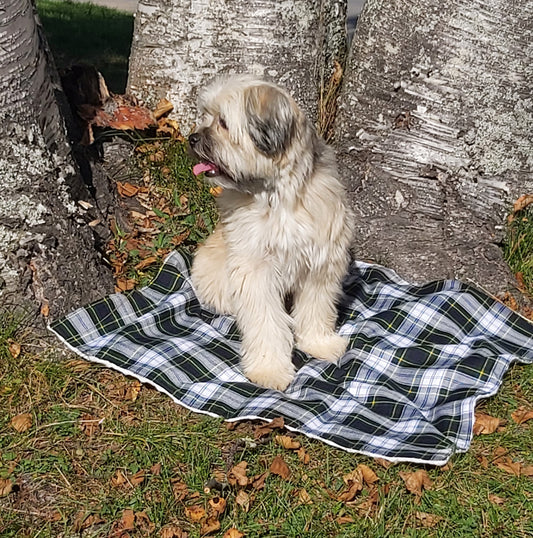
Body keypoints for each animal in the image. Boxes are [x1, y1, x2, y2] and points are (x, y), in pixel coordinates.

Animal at [189, 73, 352, 388]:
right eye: (206, 116)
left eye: (222, 122)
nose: (193, 137)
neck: (277, 196)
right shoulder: (254, 269)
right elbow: (265, 322)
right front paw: (270, 369)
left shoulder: (321, 260)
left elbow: (316, 307)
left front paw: (318, 343)